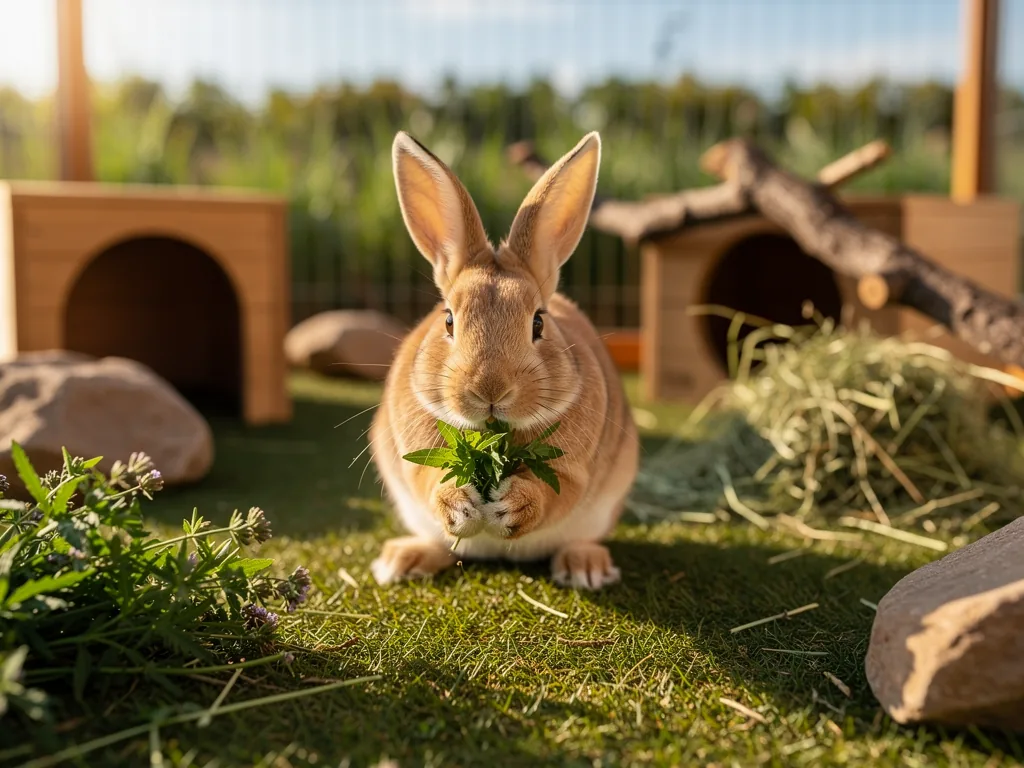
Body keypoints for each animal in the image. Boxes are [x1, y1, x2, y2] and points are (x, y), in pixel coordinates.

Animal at [368, 130, 639, 590]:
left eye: (538, 322)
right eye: (448, 320)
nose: (490, 389)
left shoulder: (575, 472)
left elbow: (557, 492)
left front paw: (511, 505)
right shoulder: (412, 460)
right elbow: (427, 480)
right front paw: (459, 502)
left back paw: (586, 569)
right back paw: (400, 562)